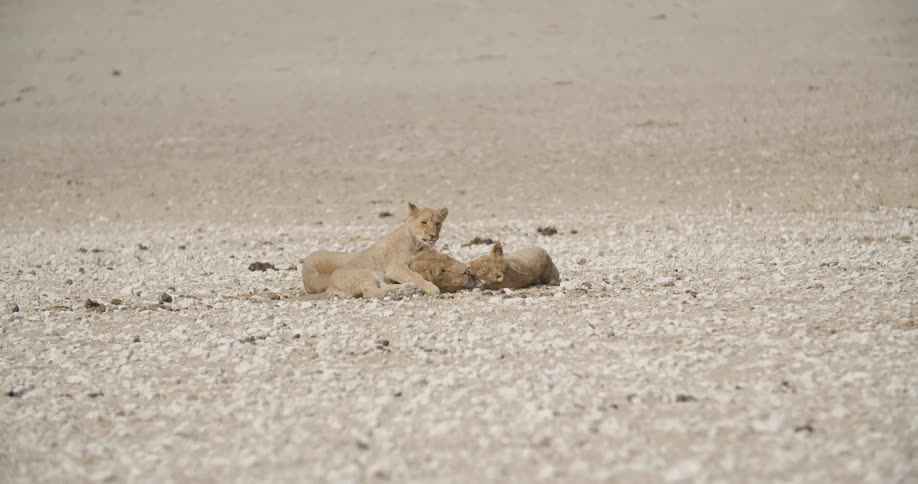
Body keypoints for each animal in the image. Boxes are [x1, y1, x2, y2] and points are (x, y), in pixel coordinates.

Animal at [301, 202, 448, 300]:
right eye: (424, 222)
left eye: (438, 223)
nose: (433, 236)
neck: (418, 244)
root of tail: (330, 285)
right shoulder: (395, 267)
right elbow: (415, 276)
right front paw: (431, 287)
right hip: (363, 274)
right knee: (371, 292)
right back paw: (400, 292)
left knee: (382, 287)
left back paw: (406, 289)